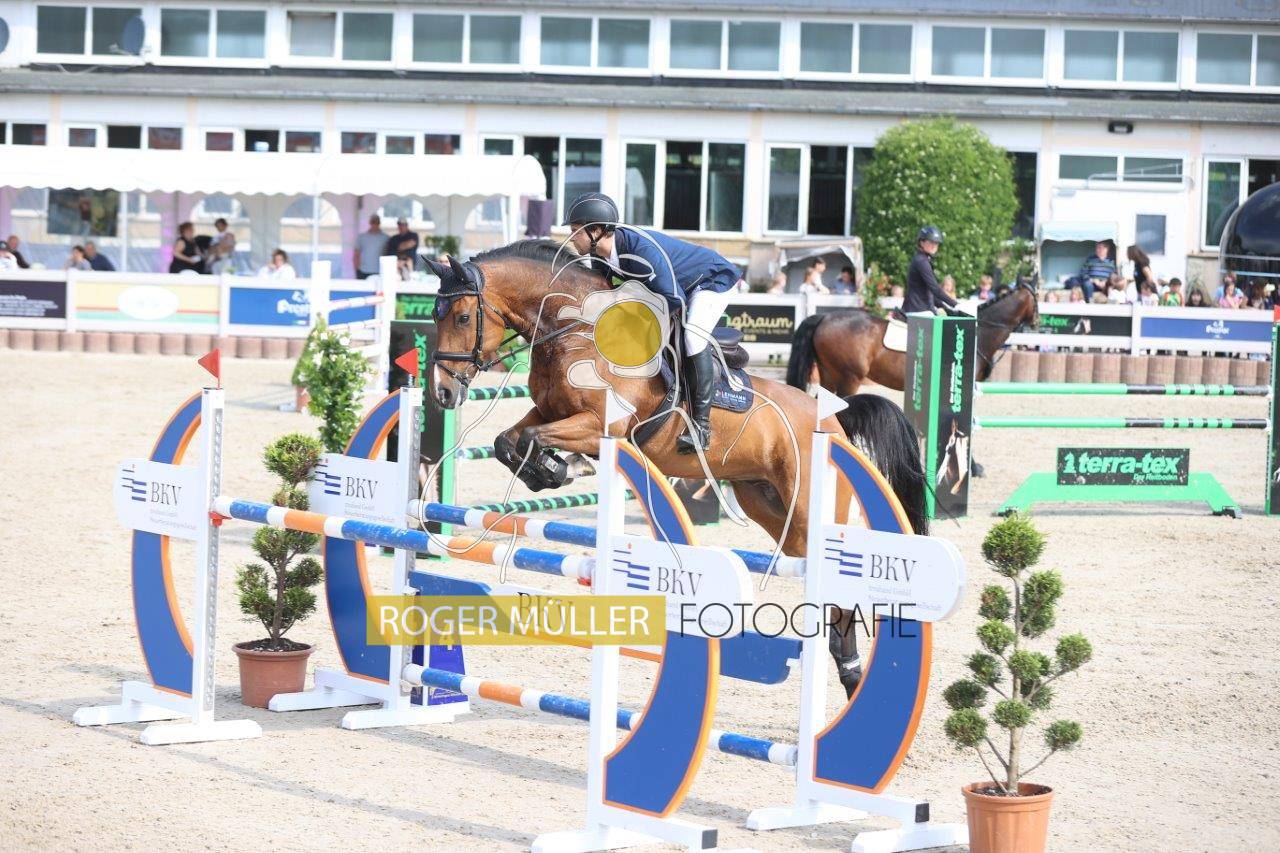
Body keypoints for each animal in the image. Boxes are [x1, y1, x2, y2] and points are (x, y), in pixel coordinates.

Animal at [425, 241, 929, 696]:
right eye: (433, 315)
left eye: (463, 317)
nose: (444, 393)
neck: (574, 328)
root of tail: (835, 420)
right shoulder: (549, 412)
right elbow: (509, 440)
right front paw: (547, 471)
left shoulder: (600, 425)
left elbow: (531, 438)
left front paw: (558, 469)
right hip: (769, 505)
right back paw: (848, 670)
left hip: (807, 505)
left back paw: (851, 673)